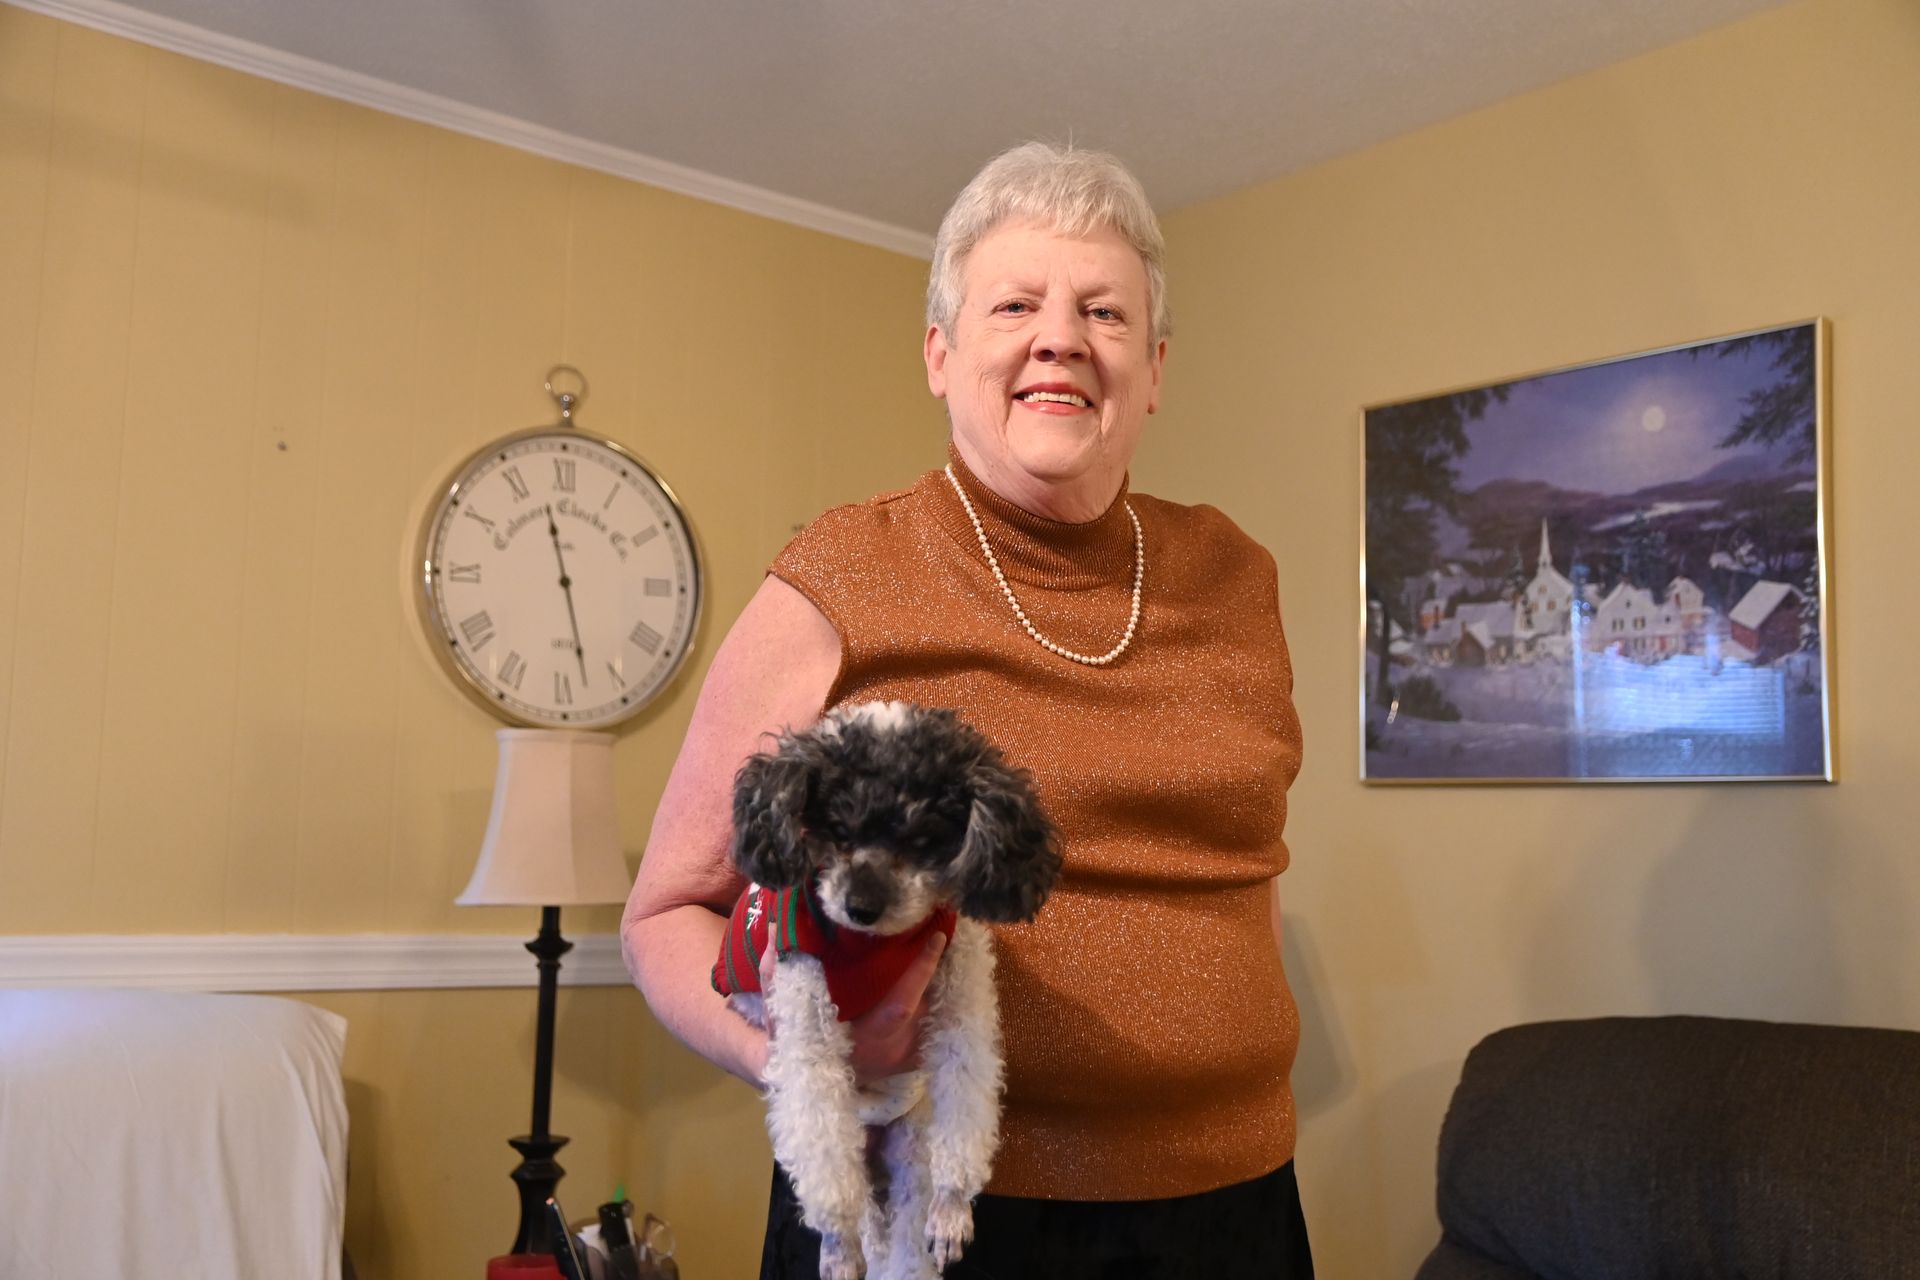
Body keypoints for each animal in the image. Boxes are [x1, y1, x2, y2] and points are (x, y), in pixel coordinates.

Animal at [713, 701, 1060, 1280]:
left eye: (922, 841)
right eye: (837, 830)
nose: (861, 907)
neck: (873, 946)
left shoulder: (962, 993)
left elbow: (966, 1094)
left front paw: (952, 1207)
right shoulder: (805, 1019)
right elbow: (823, 1150)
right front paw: (838, 1240)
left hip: (910, 1142)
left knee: (902, 1238)